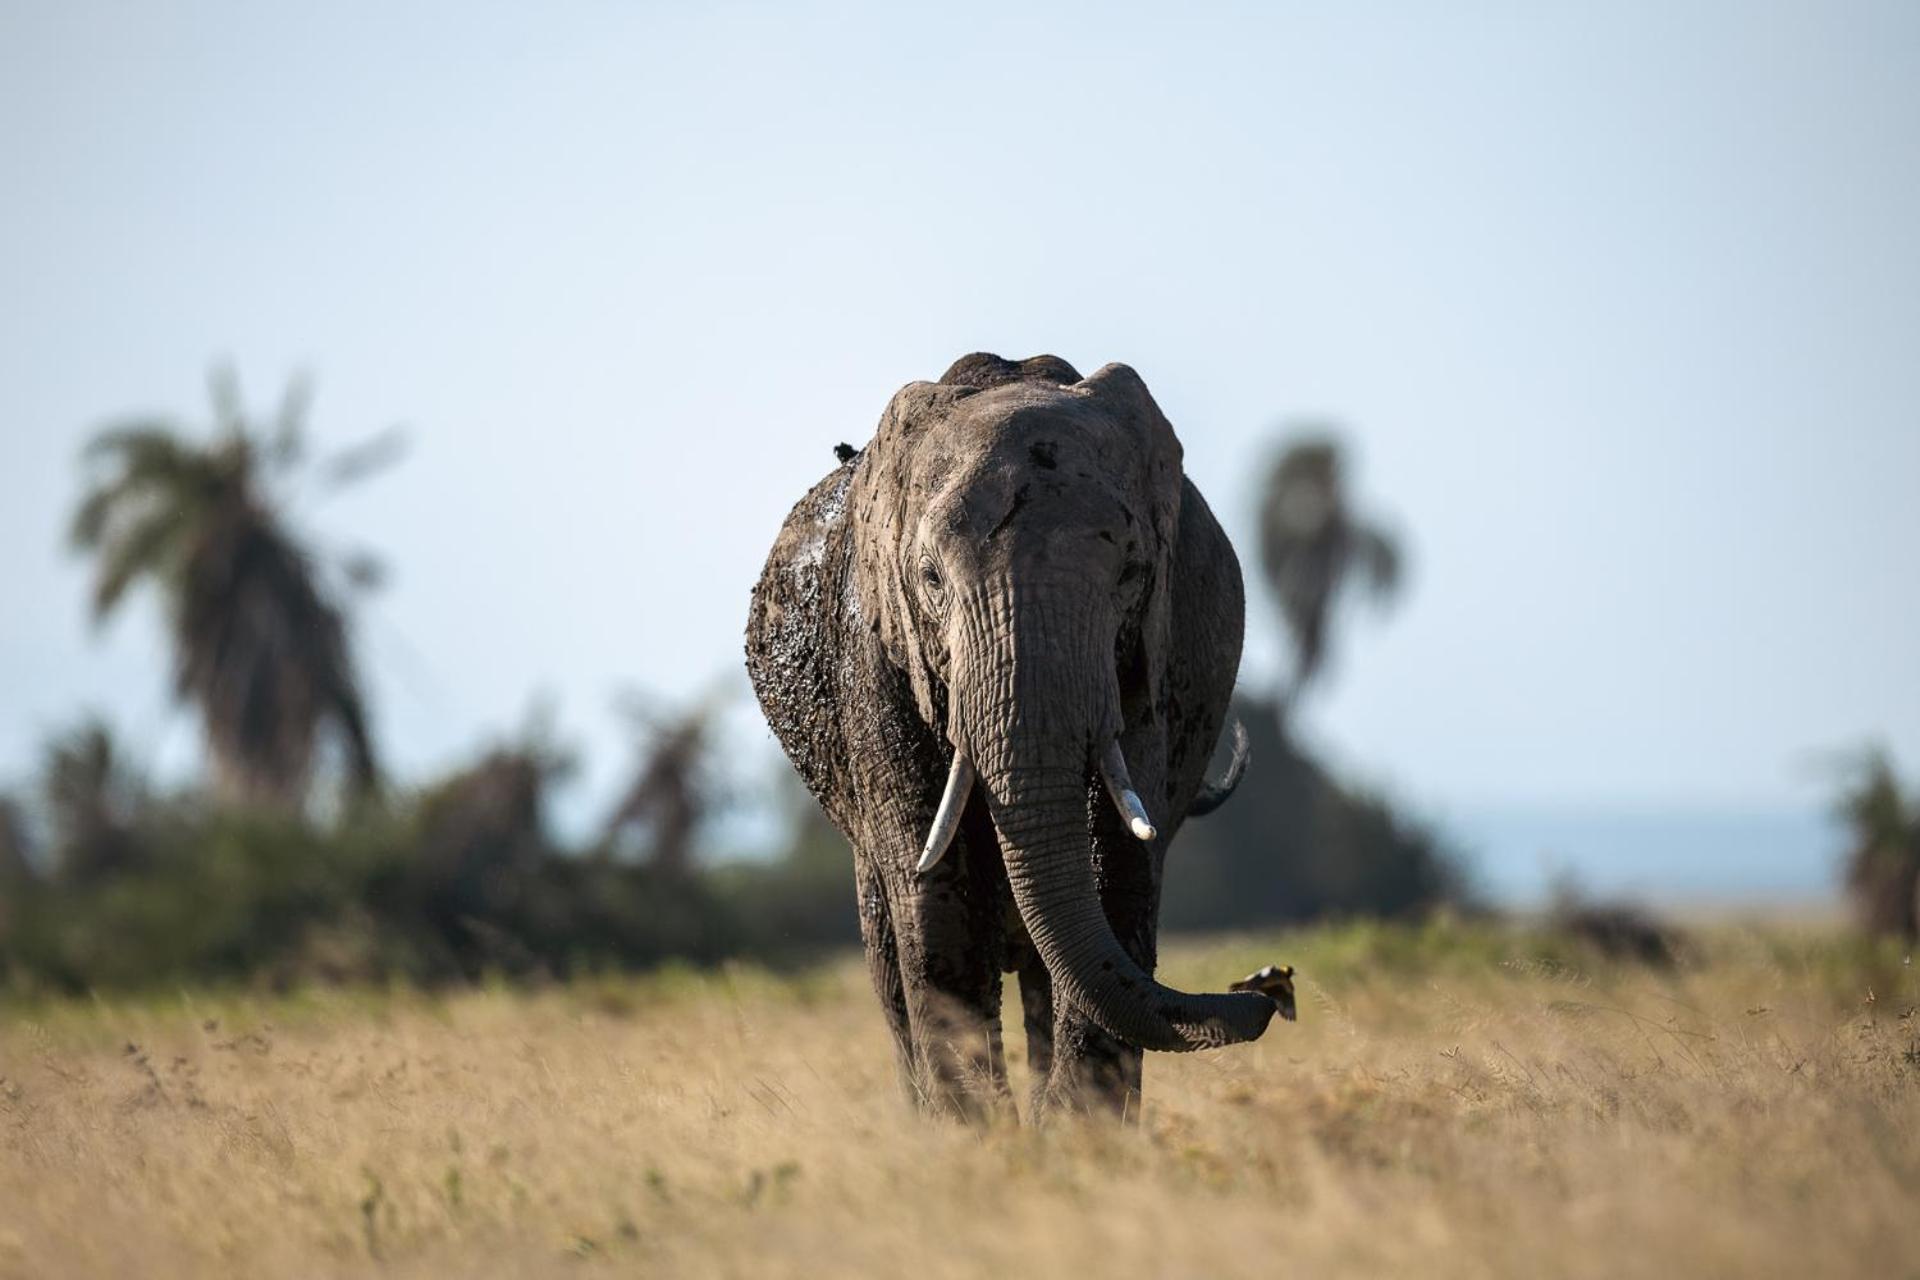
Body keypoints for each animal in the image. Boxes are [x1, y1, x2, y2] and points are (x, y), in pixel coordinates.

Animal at [741, 353, 1282, 1120]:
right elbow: (933, 897)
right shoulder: (875, 661)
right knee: (889, 961)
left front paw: (1073, 1135)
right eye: (930, 579)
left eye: (1131, 572)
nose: (1265, 986)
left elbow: (1118, 868)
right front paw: (985, 1140)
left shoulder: (1156, 652)